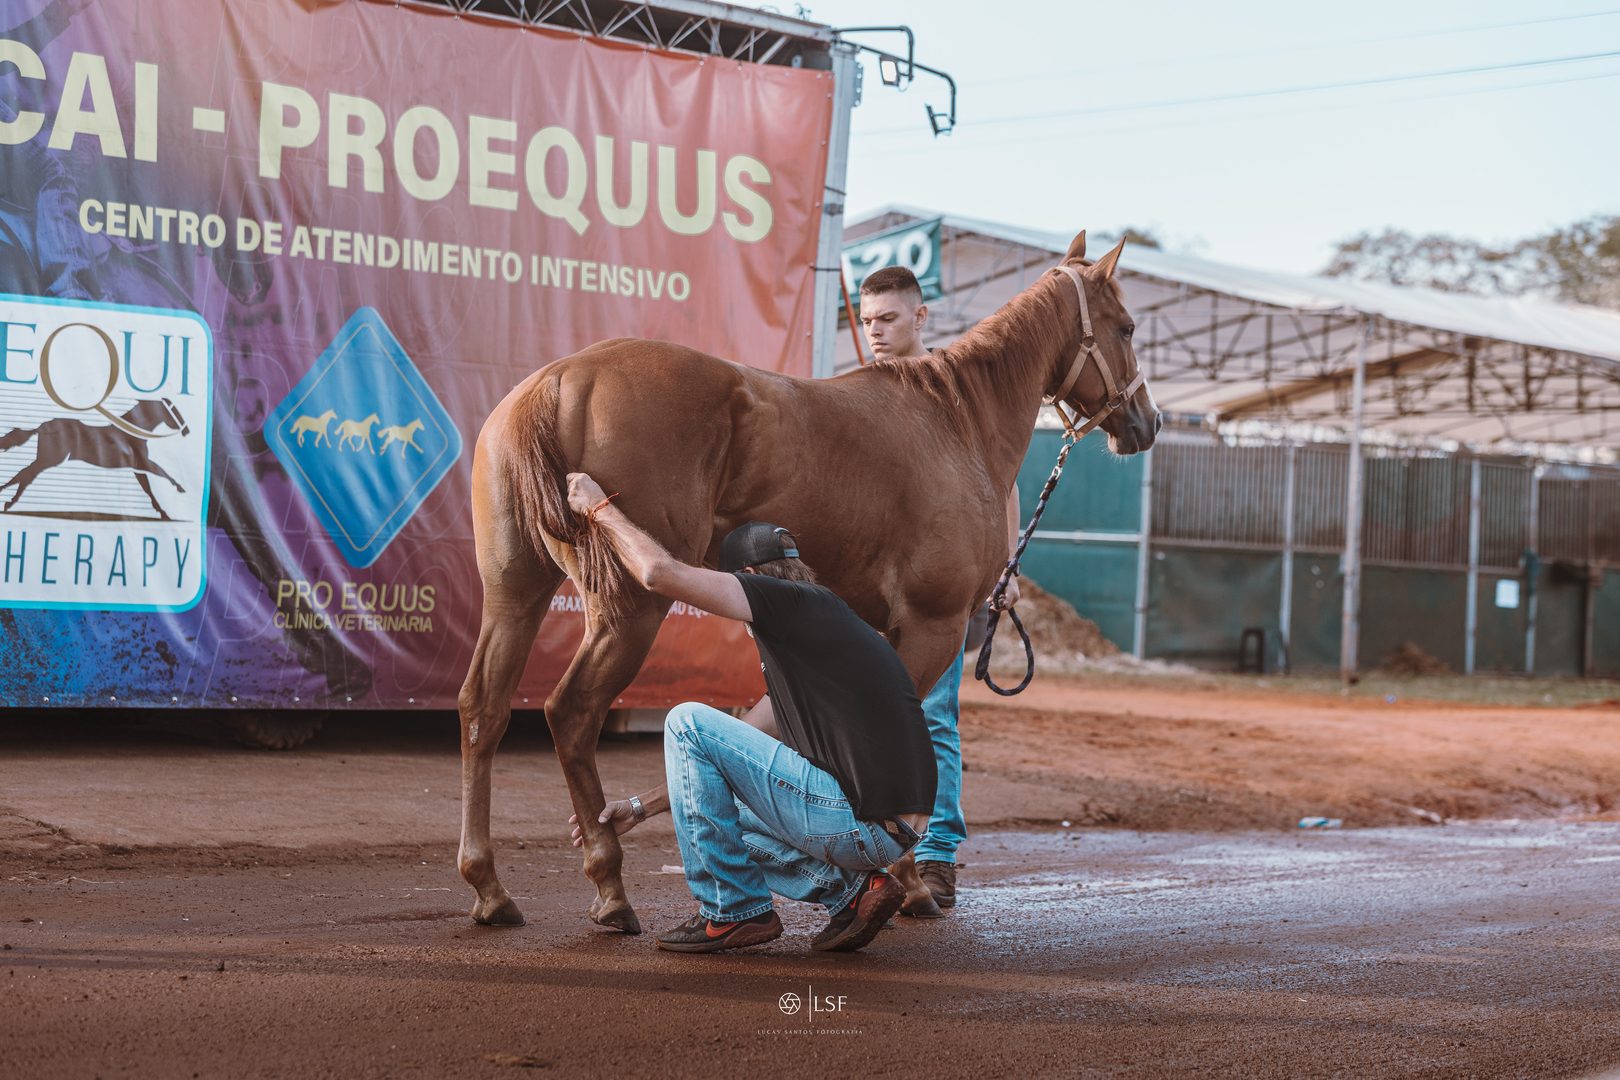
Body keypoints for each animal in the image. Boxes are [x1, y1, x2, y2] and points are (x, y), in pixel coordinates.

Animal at [0, 398, 189, 519]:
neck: (131, 433)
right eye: (172, 410)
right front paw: (179, 489)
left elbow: (148, 489)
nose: (186, 431)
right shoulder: (143, 463)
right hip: (50, 458)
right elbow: (162, 472)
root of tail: (42, 427)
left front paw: (163, 512)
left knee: (25, 474)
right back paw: (8, 503)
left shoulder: (137, 468)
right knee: (26, 474)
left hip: (47, 459)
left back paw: (7, 501)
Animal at [458, 231, 1159, 933]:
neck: (953, 421)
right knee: (571, 712)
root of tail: (560, 379)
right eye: (1126, 327)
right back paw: (609, 885)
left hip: (516, 593)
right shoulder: (931, 624)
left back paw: (489, 885)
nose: (1147, 422)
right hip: (632, 608)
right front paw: (907, 883)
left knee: (482, 709)